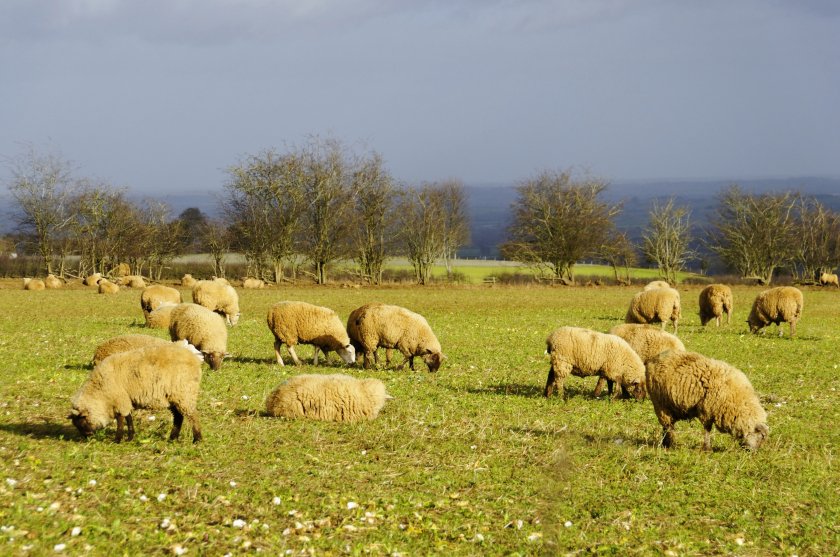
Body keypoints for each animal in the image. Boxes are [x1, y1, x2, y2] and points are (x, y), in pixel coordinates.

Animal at [69, 342, 204, 443]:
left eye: (81, 422)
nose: (87, 437)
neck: (100, 394)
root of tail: (194, 357)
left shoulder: (120, 399)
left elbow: (121, 419)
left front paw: (118, 439)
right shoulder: (125, 399)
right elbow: (128, 417)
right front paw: (130, 437)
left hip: (184, 393)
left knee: (193, 416)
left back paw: (197, 439)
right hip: (174, 397)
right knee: (178, 417)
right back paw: (172, 438)